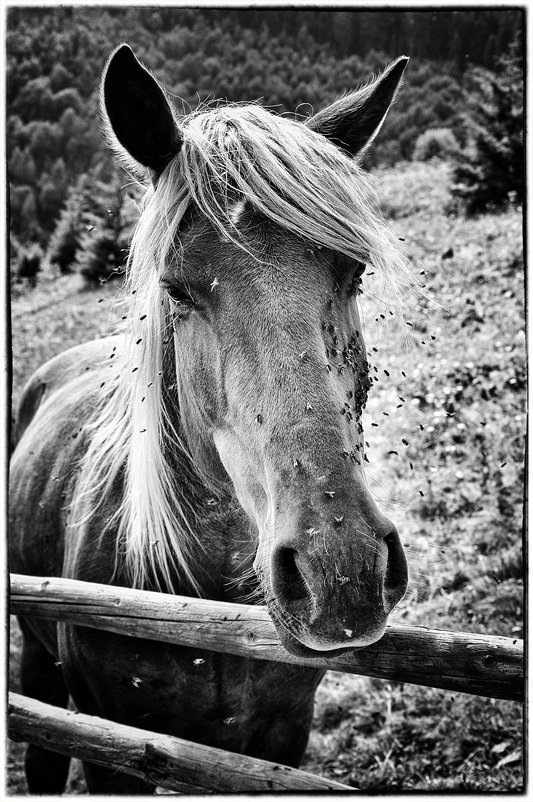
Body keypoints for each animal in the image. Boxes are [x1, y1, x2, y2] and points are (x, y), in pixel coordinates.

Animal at [10, 45, 412, 792]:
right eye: (176, 289)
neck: (205, 608)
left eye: (353, 273)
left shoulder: (281, 739)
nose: (339, 572)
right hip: (39, 660)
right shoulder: (114, 748)